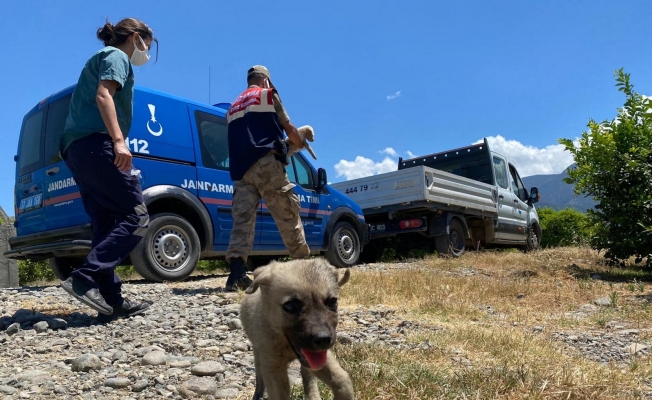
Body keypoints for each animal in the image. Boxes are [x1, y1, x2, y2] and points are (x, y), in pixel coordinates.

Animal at [241, 258, 354, 398]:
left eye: (332, 302)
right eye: (290, 306)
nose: (323, 339)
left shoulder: (322, 356)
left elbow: (342, 381)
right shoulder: (272, 367)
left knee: (308, 375)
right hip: (257, 352)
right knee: (258, 371)